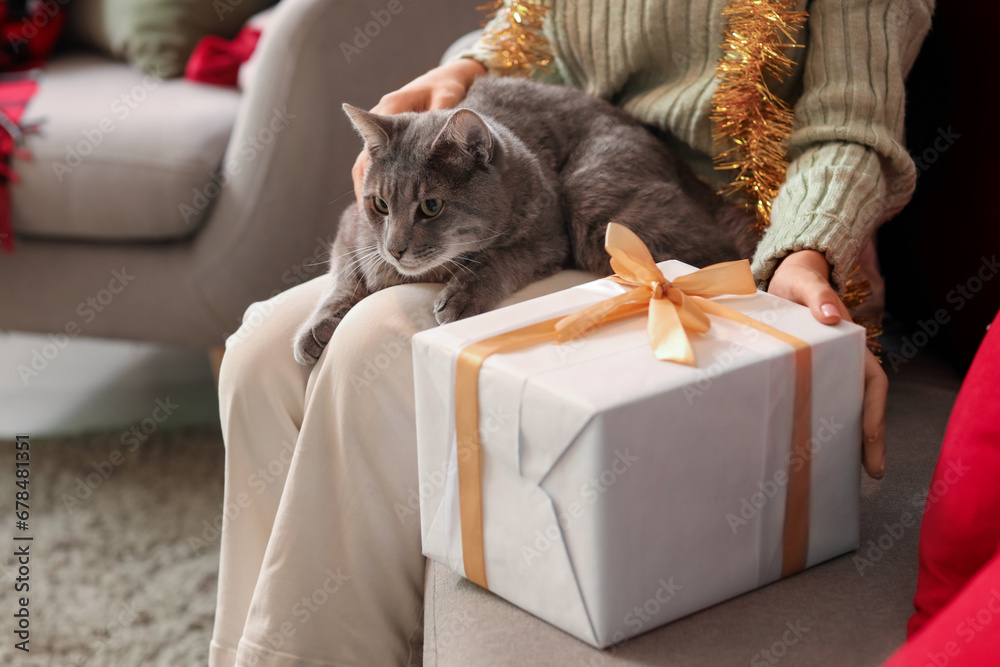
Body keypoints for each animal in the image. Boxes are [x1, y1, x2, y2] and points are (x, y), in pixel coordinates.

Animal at [292, 76, 752, 368]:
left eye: (431, 207)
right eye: (380, 205)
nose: (395, 249)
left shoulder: (548, 239)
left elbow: (501, 259)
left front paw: (463, 295)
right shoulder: (350, 228)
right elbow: (342, 277)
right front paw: (317, 326)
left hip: (590, 201)